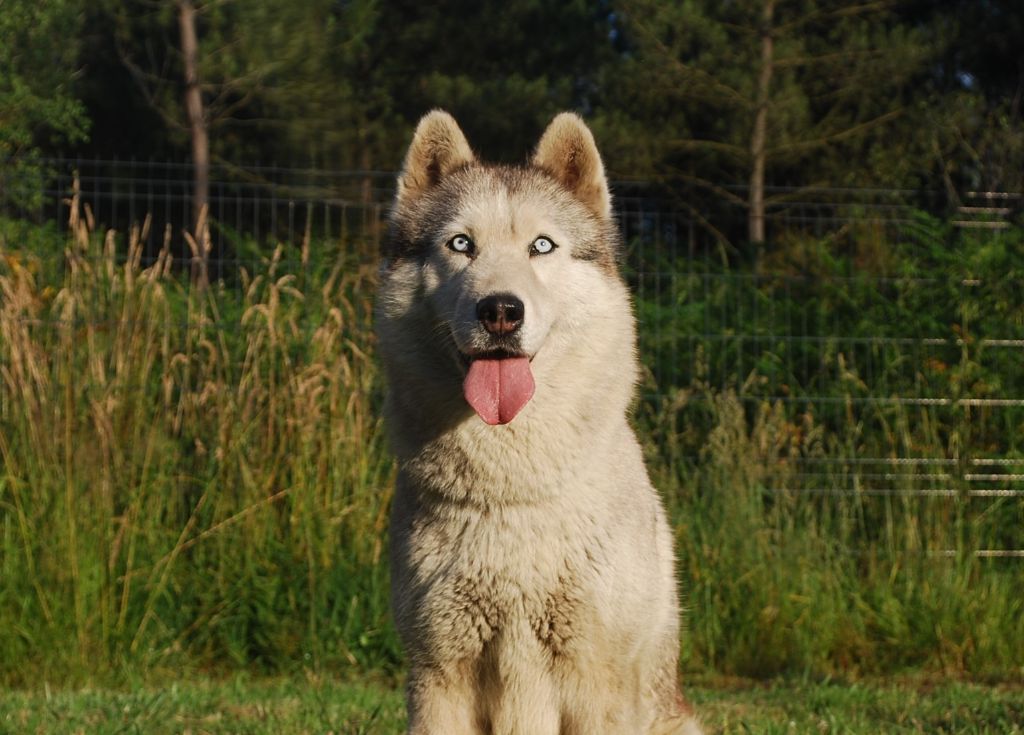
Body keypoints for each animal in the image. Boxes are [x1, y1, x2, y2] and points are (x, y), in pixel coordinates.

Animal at [378, 111, 704, 735]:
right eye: (461, 244)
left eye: (542, 246)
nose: (500, 310)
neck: (511, 496)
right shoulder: (438, 674)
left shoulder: (596, 683)